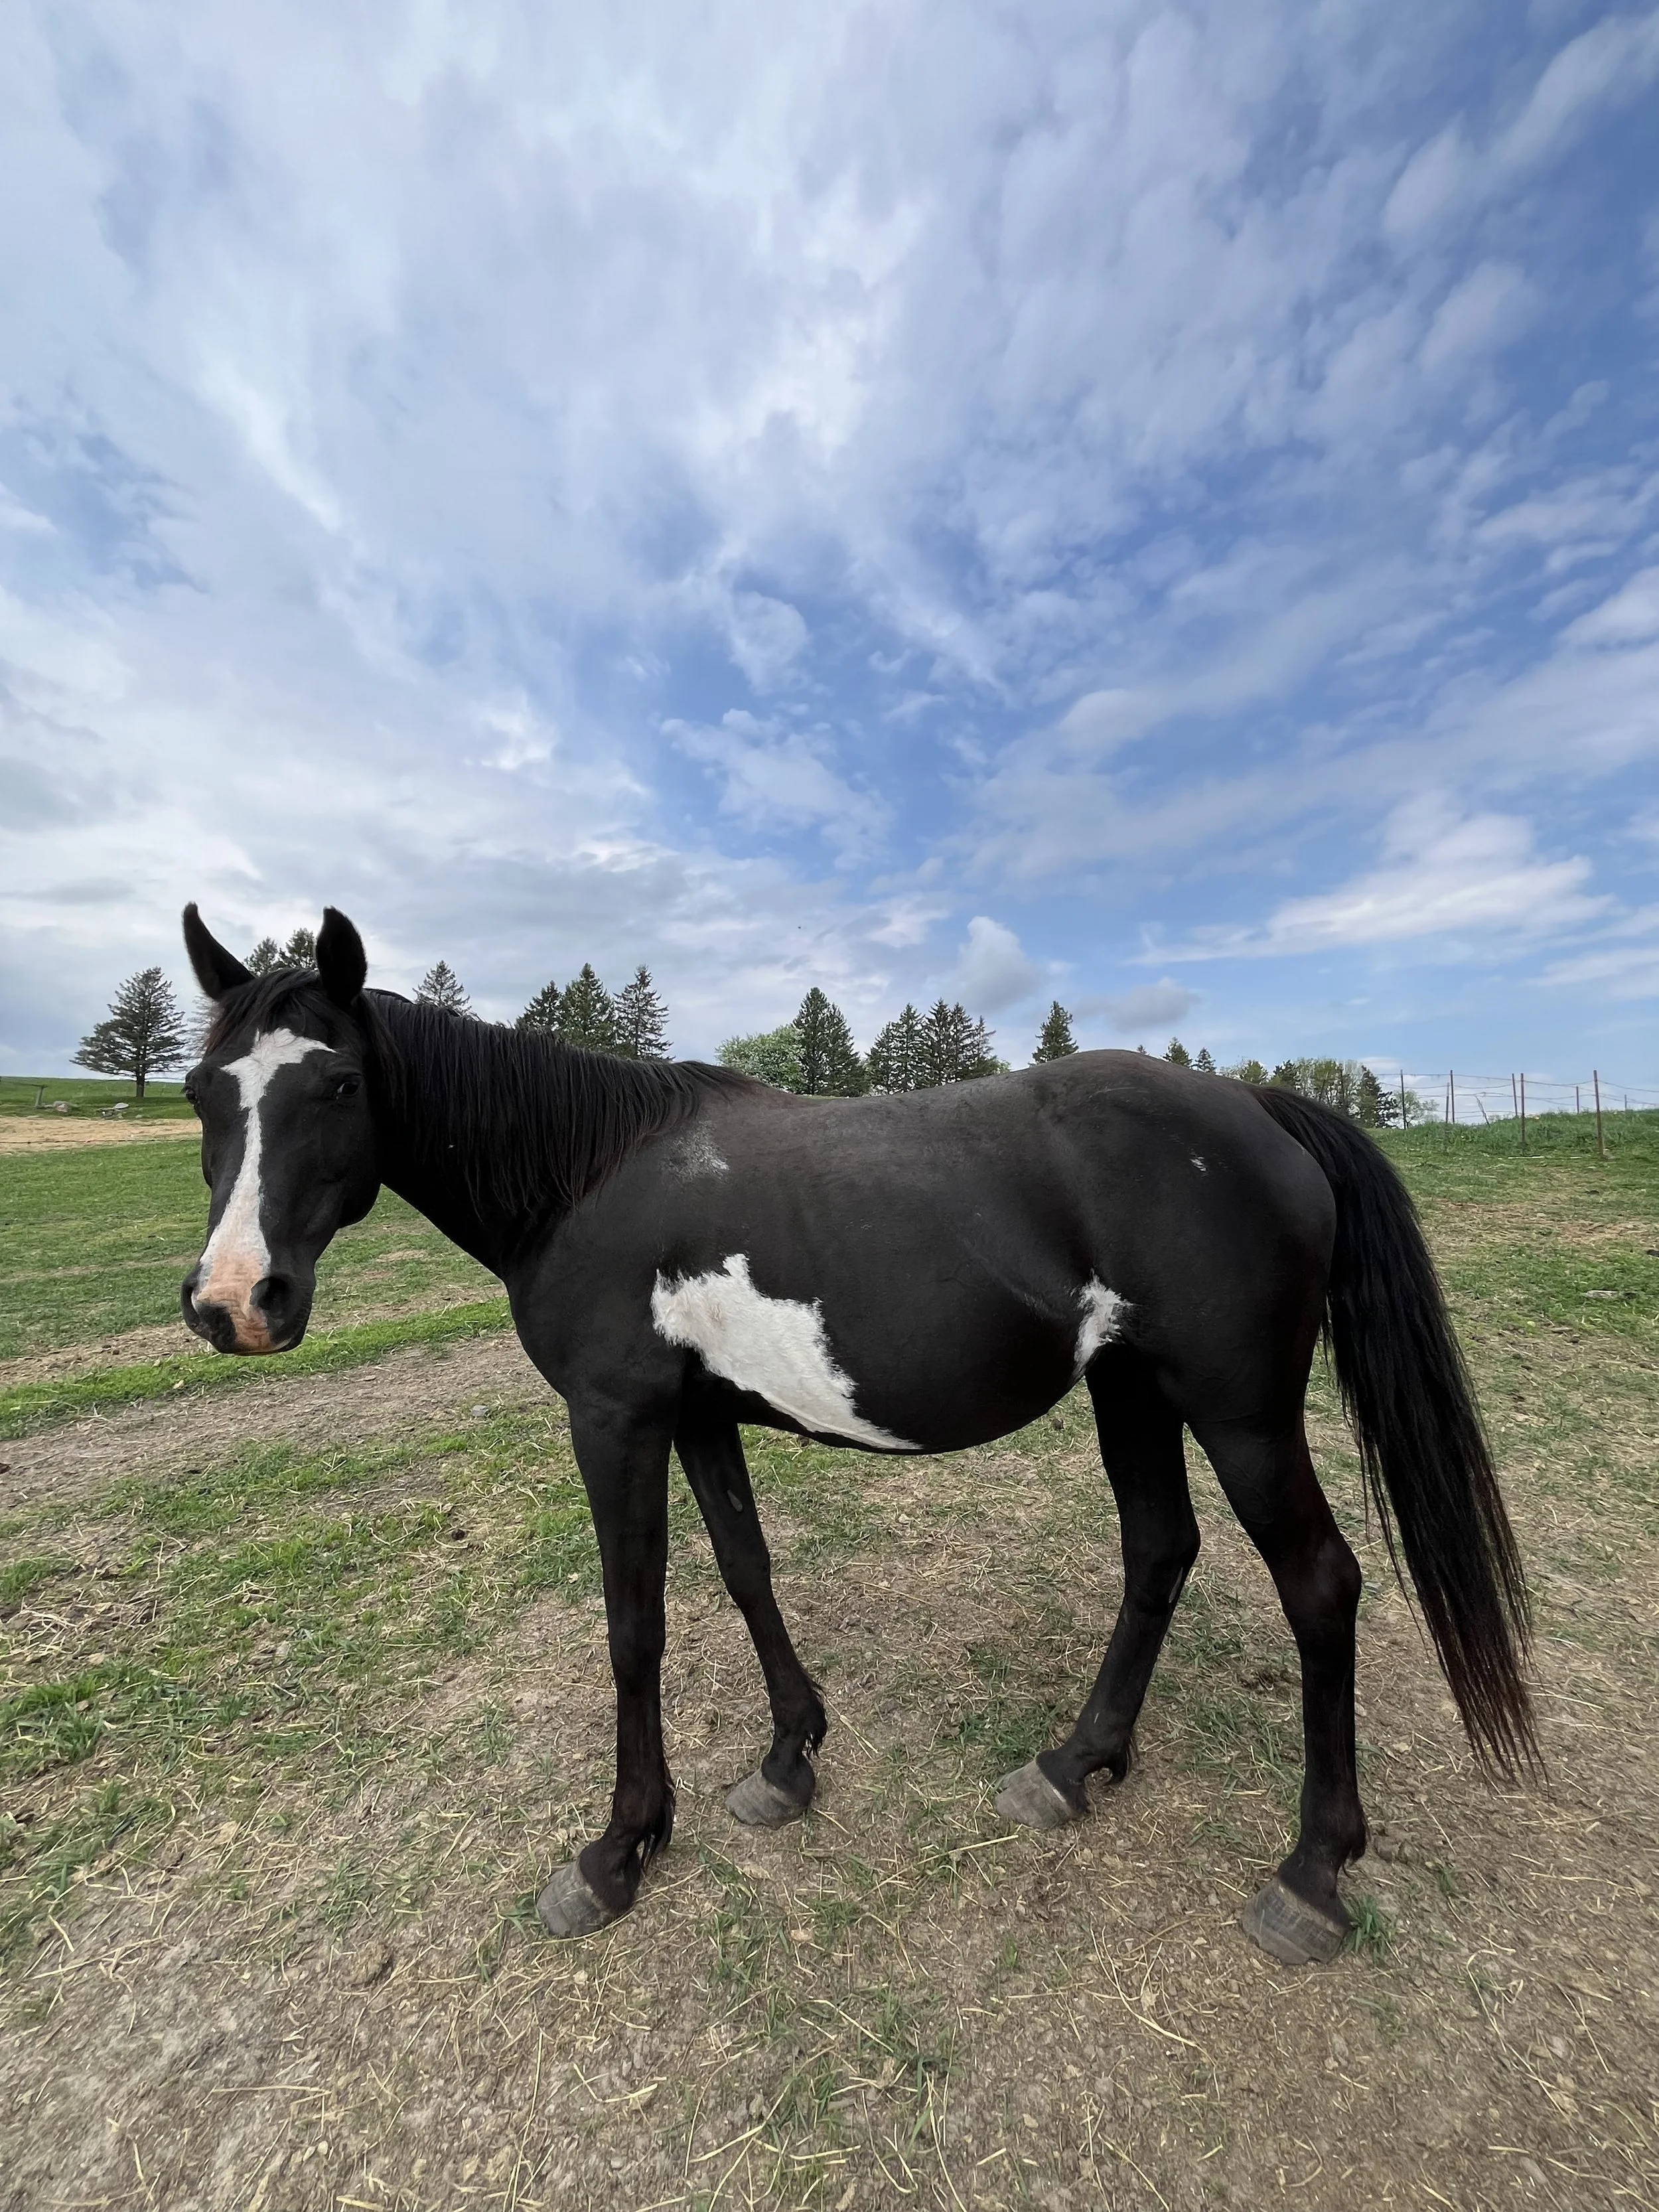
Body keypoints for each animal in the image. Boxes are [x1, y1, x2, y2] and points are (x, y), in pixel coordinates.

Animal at [178, 903, 1535, 1966]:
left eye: (339, 1084)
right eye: (202, 1092)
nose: (235, 1301)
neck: (586, 1176)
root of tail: (1256, 1104)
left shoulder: (615, 1418)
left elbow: (634, 1626)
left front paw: (618, 1850)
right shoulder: (696, 1414)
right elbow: (745, 1571)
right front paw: (787, 1761)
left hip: (1238, 1409)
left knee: (1321, 1583)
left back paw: (1311, 1874)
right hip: (1135, 1391)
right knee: (1160, 1550)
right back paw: (1072, 1765)